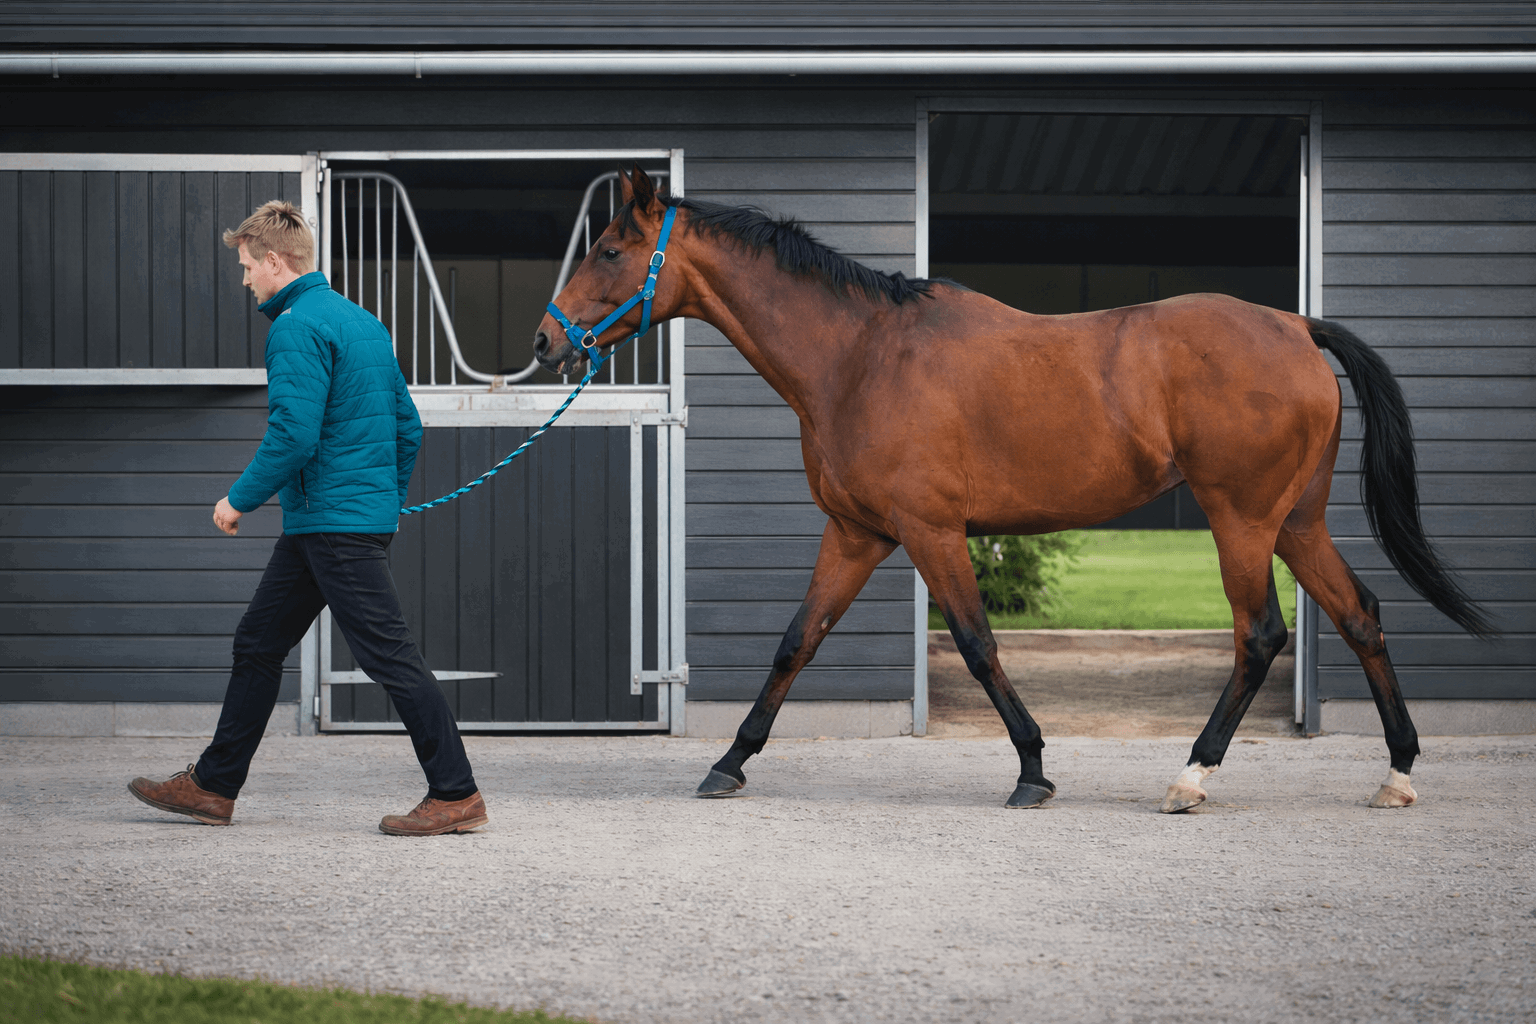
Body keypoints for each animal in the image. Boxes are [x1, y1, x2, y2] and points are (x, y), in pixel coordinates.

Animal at [535, 167, 1493, 814]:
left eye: (612, 250)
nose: (547, 342)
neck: (858, 355)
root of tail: (1297, 327)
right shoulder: (855, 533)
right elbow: (794, 643)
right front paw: (729, 762)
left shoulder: (929, 531)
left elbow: (976, 643)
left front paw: (1033, 769)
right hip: (1296, 521)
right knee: (1361, 614)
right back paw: (1397, 773)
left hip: (1242, 522)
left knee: (1259, 636)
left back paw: (1191, 776)